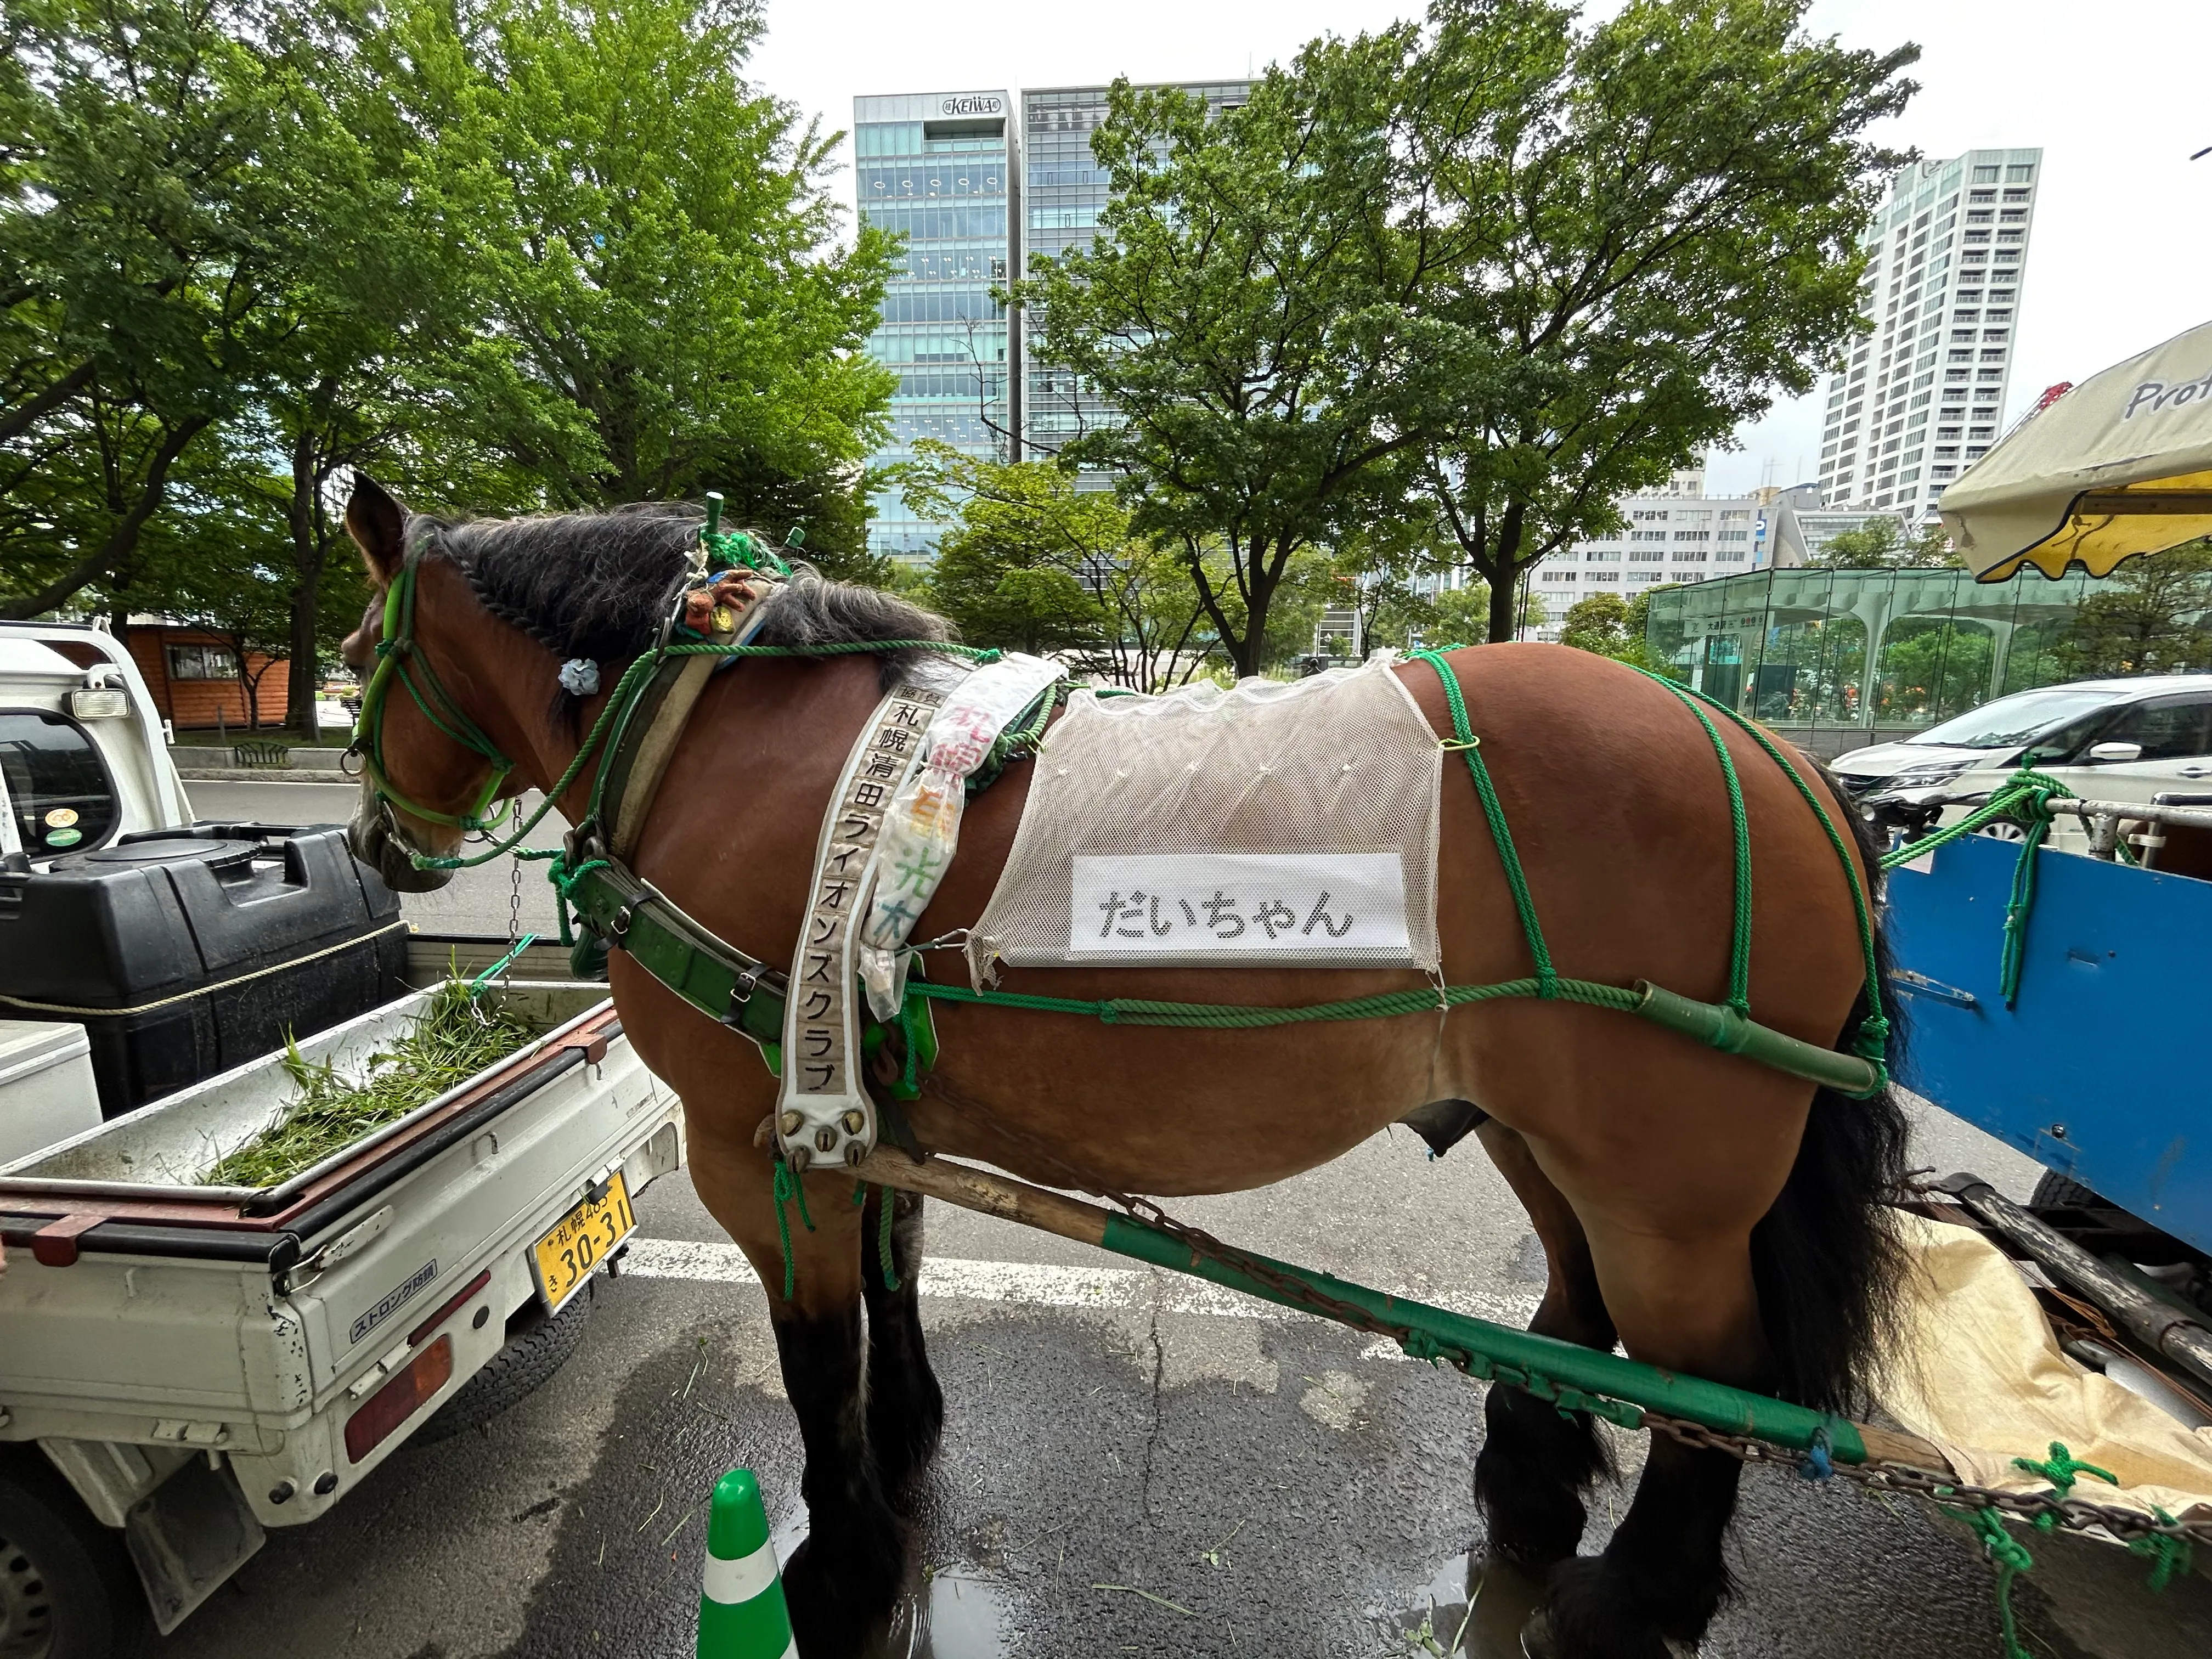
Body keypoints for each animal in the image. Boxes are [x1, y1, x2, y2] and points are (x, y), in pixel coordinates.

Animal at [338, 475, 1908, 1659]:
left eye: (358, 655)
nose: (369, 846)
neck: (702, 730)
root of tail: (1786, 760)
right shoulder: (851, 1091)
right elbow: (895, 1267)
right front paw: (906, 1441)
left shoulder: (755, 1139)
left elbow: (813, 1352)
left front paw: (842, 1560)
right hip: (1546, 1130)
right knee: (1583, 1304)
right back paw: (1528, 1480)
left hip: (1670, 1184)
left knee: (1714, 1379)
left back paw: (1632, 1600)